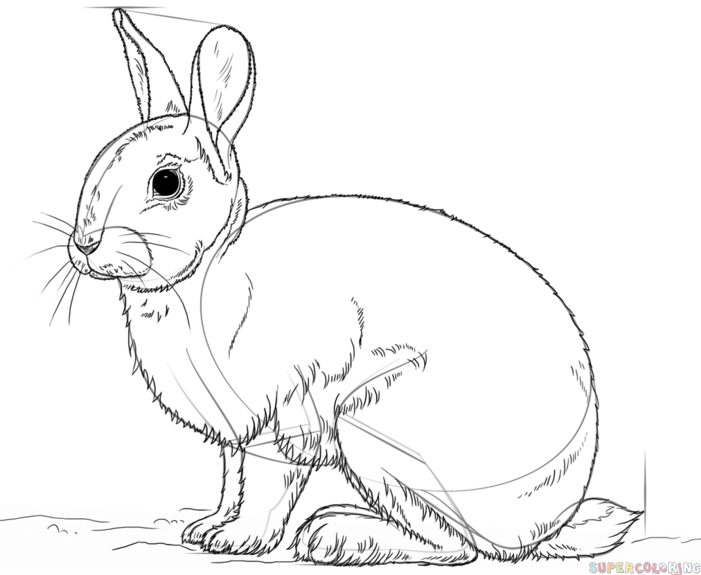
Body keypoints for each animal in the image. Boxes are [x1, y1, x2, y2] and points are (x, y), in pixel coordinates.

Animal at [64, 9, 641, 565]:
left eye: (166, 183)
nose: (84, 244)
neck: (205, 270)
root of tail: (549, 522)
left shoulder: (285, 411)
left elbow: (268, 484)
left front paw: (240, 541)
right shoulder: (235, 433)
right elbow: (233, 479)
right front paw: (206, 530)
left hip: (378, 424)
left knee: (458, 546)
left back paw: (336, 537)